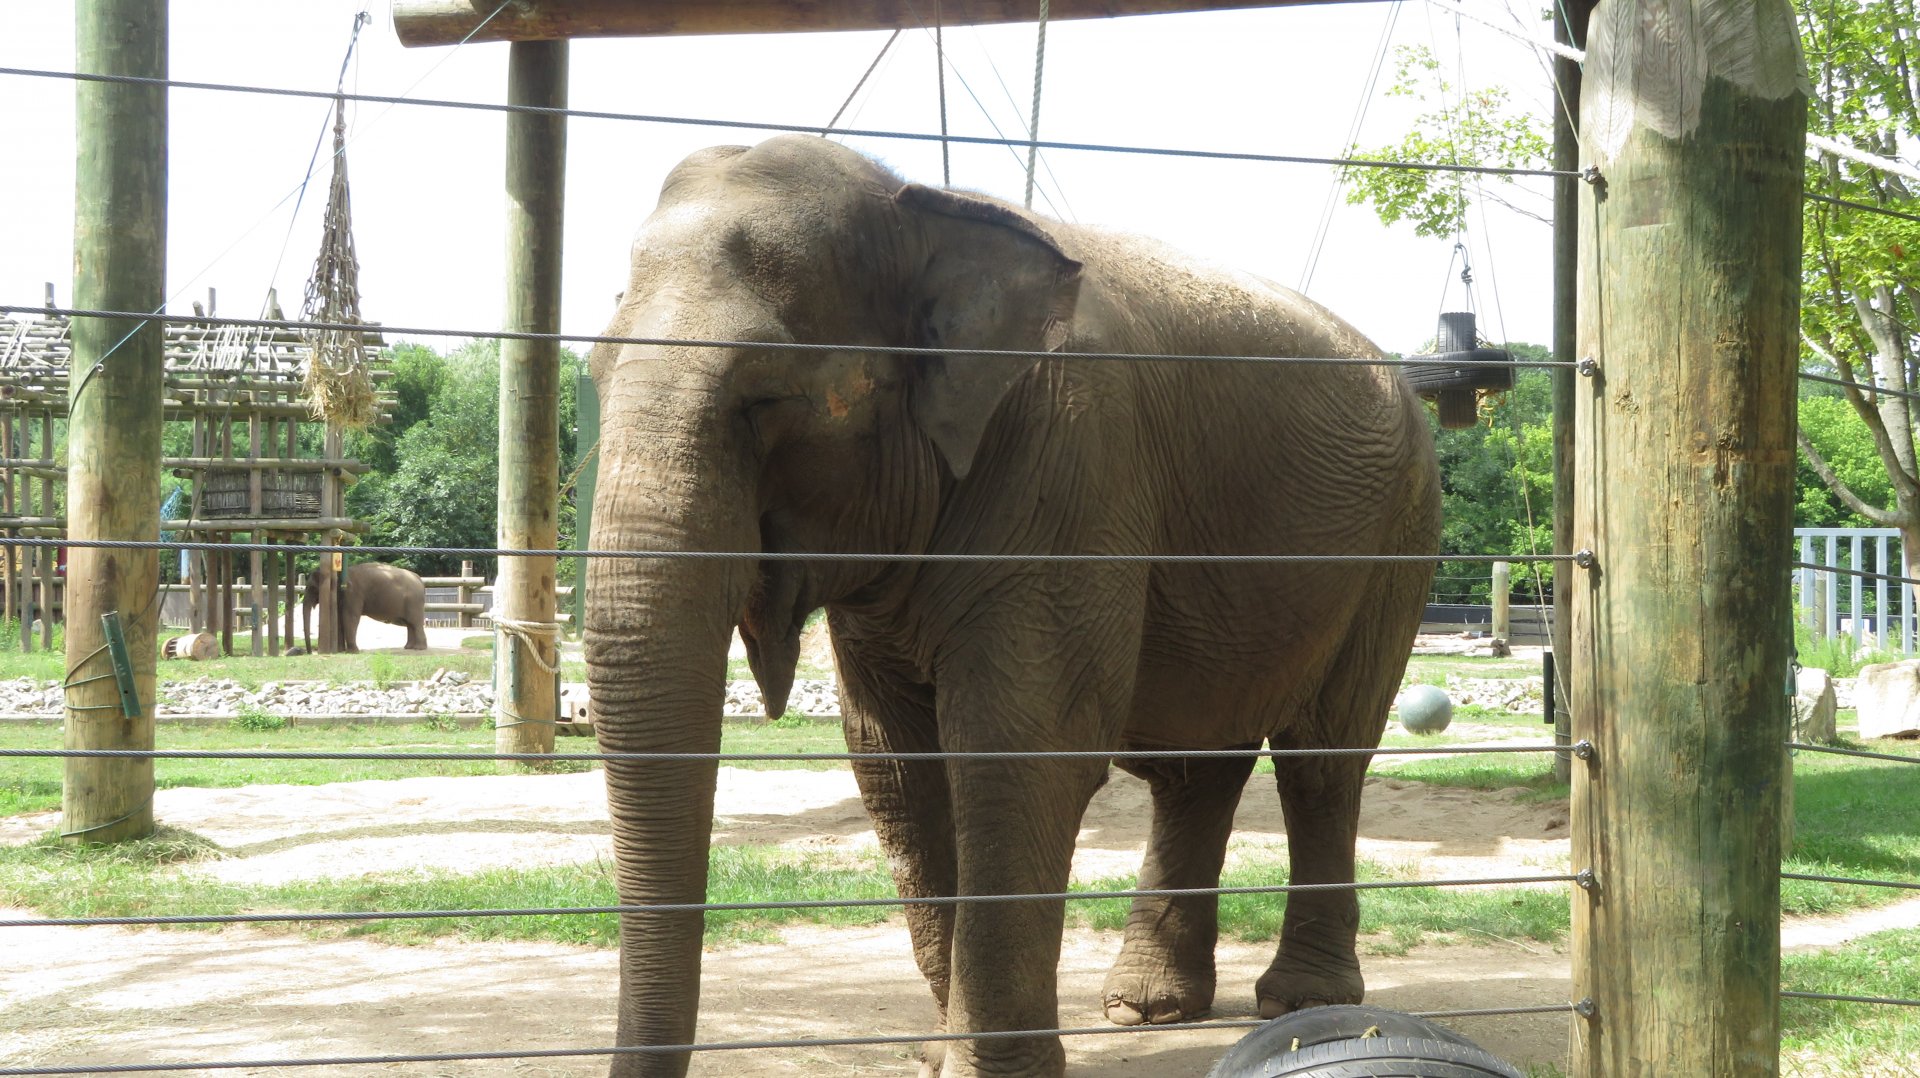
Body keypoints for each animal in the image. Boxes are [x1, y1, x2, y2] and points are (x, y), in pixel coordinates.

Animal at [583, 135, 1442, 1078]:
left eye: (765, 396)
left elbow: (1023, 746)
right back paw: (1147, 1008)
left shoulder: (1070, 459)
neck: (923, 207)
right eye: (593, 374)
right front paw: (937, 1057)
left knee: (1322, 758)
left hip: (1398, 540)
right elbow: (895, 765)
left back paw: (1302, 1002)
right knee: (1197, 767)